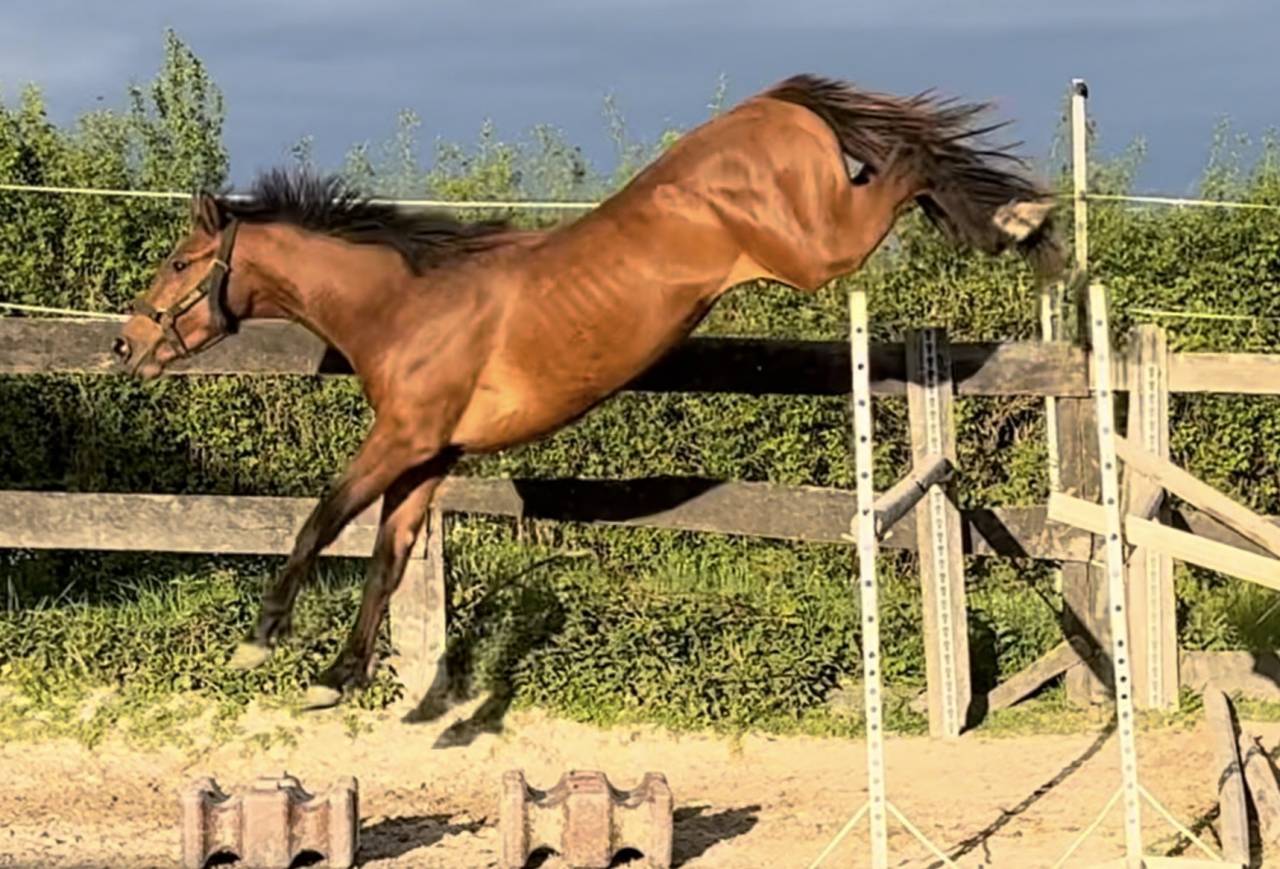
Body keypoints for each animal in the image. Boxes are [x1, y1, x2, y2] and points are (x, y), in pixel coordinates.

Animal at [114, 73, 1063, 710]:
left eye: (179, 263)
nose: (128, 345)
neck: (409, 303)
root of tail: (771, 102)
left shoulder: (403, 440)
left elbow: (319, 519)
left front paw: (260, 642)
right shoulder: (428, 459)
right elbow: (387, 559)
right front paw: (336, 677)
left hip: (820, 249)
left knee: (907, 165)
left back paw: (1015, 219)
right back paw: (1012, 220)